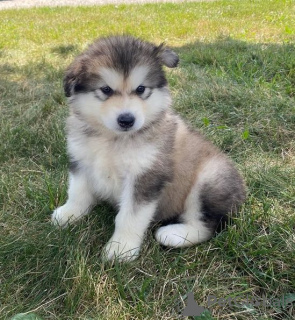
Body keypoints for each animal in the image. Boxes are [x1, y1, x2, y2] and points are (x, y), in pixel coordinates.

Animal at [52, 35, 246, 262]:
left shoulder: (144, 176)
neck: (114, 139)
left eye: (141, 89)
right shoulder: (81, 160)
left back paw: (173, 234)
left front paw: (121, 249)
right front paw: (69, 214)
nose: (127, 120)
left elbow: (129, 217)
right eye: (106, 89)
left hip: (210, 180)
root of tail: (243, 193)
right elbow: (78, 192)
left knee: (207, 225)